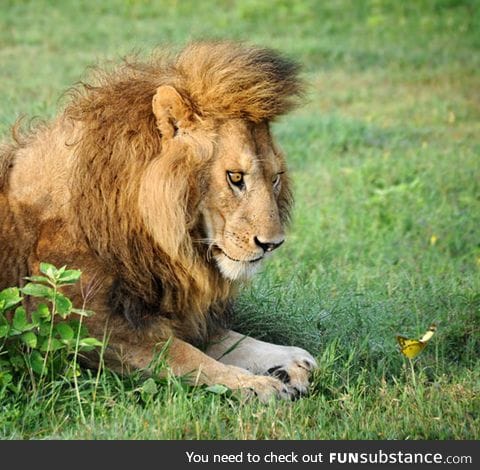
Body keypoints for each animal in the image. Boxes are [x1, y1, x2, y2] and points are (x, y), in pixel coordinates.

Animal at [0, 41, 318, 400]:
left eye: (275, 178)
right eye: (235, 177)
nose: (272, 244)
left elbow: (226, 339)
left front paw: (289, 362)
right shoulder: (79, 324)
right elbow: (186, 355)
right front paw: (256, 384)